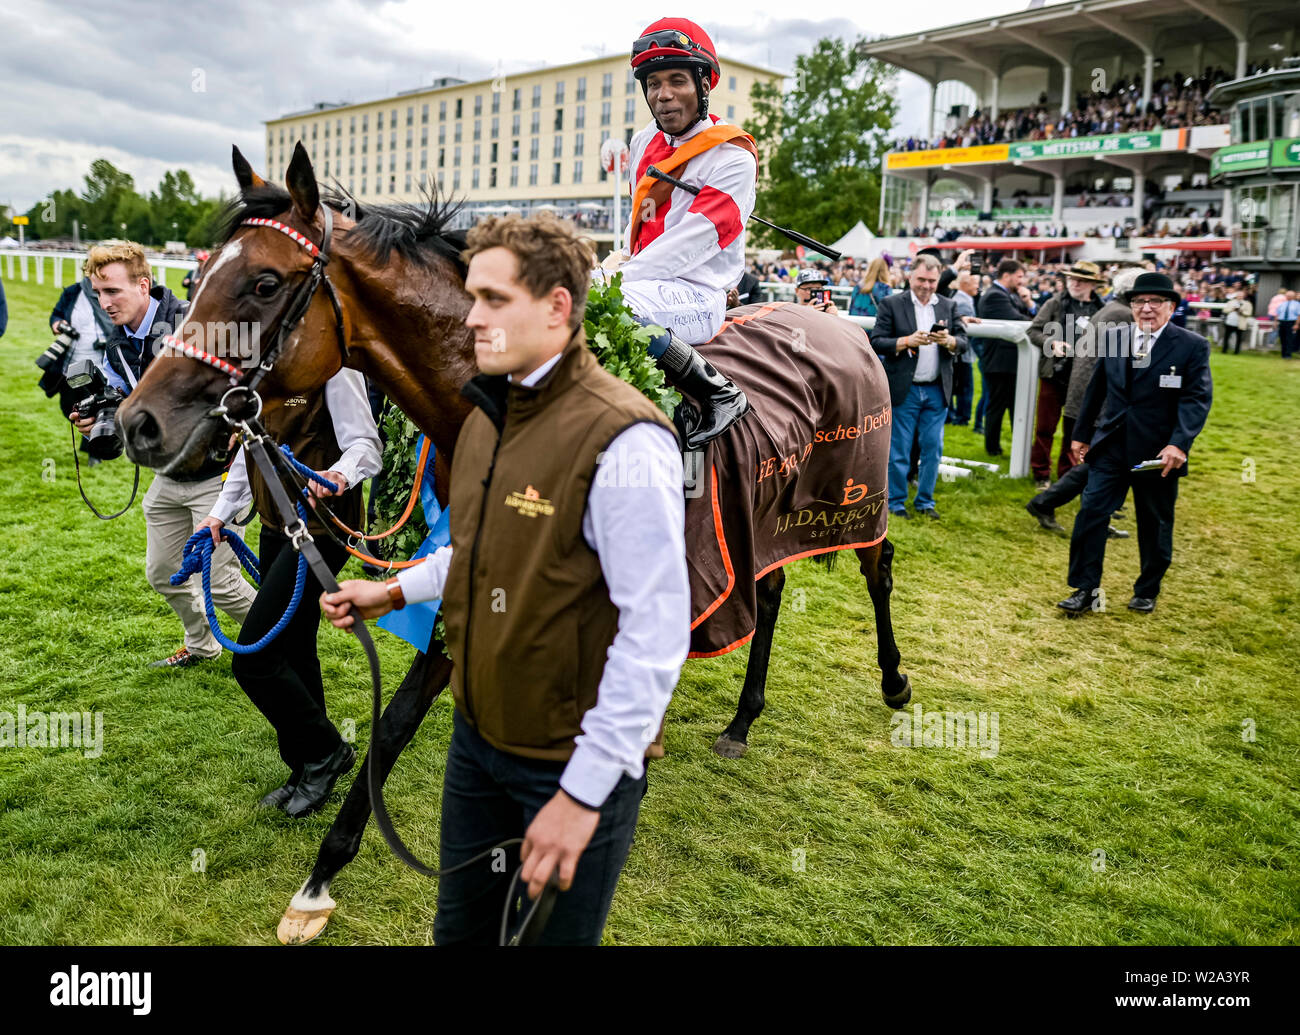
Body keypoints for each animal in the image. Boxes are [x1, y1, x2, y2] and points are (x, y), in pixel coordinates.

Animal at [116, 145, 904, 946]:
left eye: (265, 283)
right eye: (202, 274)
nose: (137, 421)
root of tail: (836, 321)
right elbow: (395, 723)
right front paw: (319, 880)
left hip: (853, 499)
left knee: (878, 568)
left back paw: (894, 682)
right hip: (767, 520)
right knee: (769, 589)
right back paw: (742, 719)